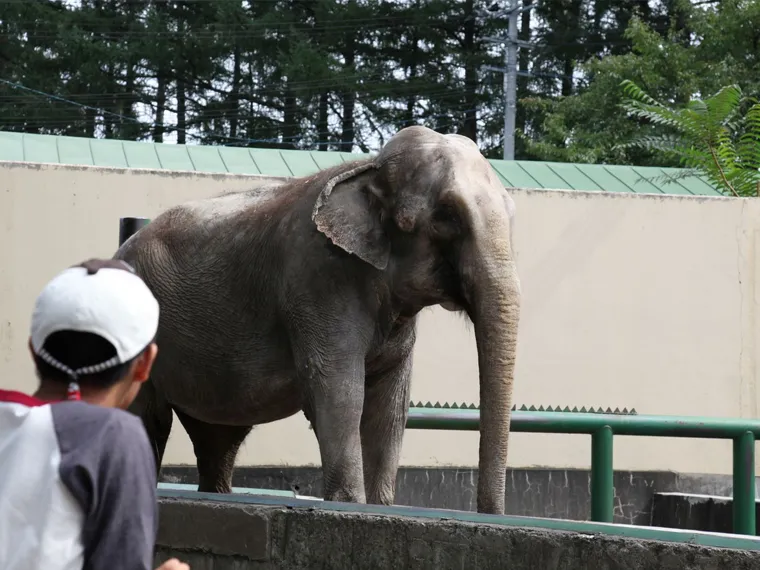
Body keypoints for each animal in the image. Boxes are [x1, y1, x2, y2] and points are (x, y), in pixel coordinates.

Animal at [114, 125, 524, 516]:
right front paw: (349, 504)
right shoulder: (317, 280)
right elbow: (339, 390)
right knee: (149, 418)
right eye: (447, 216)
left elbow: (390, 405)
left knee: (218, 438)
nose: (490, 513)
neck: (367, 168)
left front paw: (378, 507)